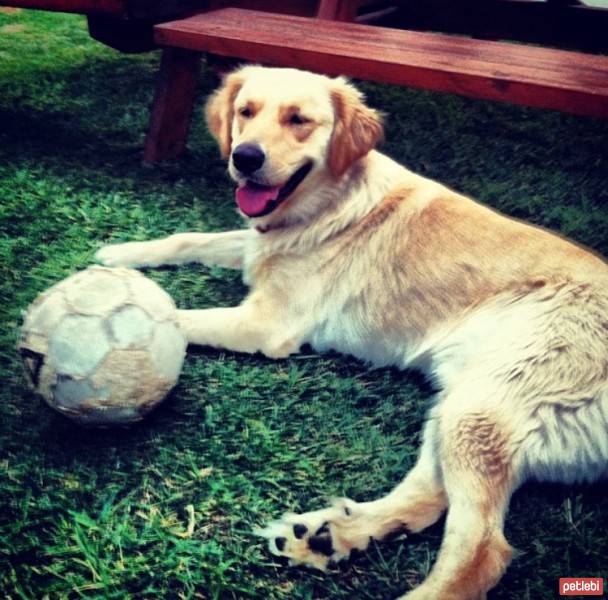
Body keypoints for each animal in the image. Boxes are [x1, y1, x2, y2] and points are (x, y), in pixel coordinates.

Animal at [97, 65, 608, 600]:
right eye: (245, 111)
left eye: (298, 120)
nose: (245, 157)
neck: (328, 205)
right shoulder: (254, 247)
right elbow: (190, 238)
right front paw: (122, 255)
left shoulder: (267, 322)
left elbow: (175, 316)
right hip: (460, 404)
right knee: (428, 499)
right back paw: (328, 537)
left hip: (479, 409)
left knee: (482, 552)